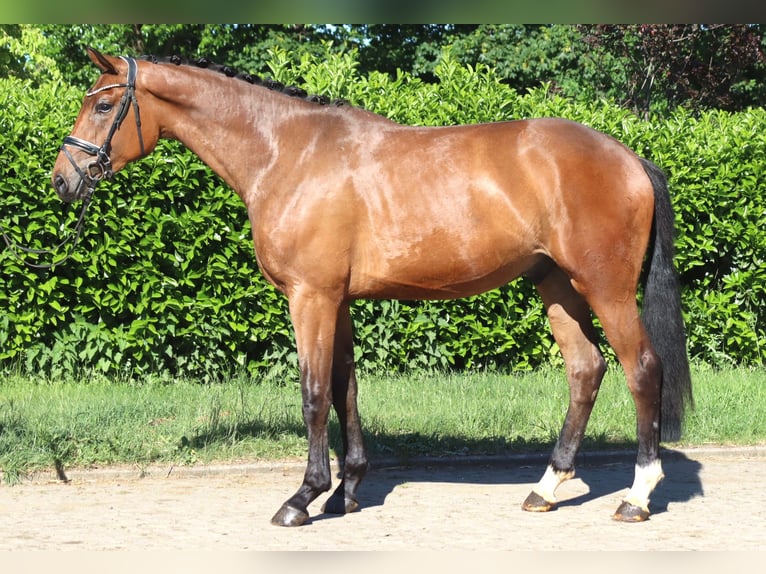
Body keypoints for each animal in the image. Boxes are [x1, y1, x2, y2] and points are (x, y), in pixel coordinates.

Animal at [52, 48, 693, 527]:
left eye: (104, 104)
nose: (62, 180)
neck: (287, 153)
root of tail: (630, 158)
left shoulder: (310, 297)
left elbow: (313, 394)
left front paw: (302, 497)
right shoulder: (337, 301)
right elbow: (345, 388)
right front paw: (346, 490)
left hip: (605, 288)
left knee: (641, 369)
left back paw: (636, 496)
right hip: (556, 286)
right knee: (586, 370)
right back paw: (546, 487)